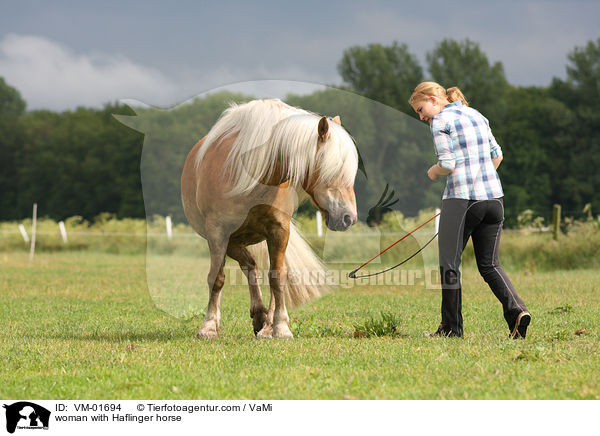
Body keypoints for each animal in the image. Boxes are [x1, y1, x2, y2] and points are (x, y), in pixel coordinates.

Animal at [180, 98, 358, 338]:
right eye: (333, 170)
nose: (349, 218)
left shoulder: (279, 230)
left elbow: (277, 278)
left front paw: (280, 327)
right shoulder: (217, 232)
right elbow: (217, 278)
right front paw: (208, 326)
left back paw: (265, 325)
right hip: (230, 241)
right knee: (249, 265)